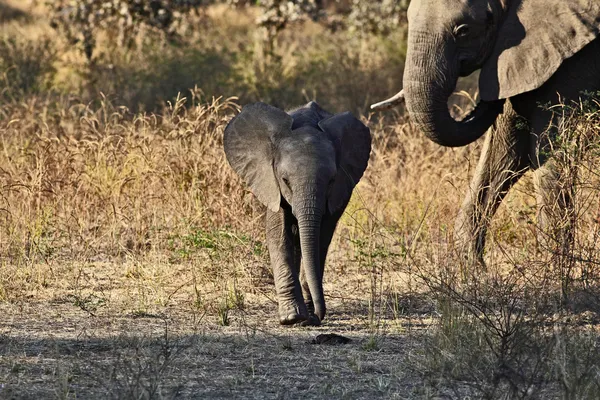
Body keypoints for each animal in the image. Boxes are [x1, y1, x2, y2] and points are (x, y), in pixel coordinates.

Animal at [224, 101, 370, 326]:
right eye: (285, 180)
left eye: (331, 180)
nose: (316, 318)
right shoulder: (271, 183)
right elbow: (279, 236)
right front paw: (292, 317)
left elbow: (320, 240)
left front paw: (304, 315)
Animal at [376, 0, 600, 260]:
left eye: (463, 31)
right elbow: (507, 150)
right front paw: (472, 268)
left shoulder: (575, 59)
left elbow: (549, 152)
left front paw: (555, 267)